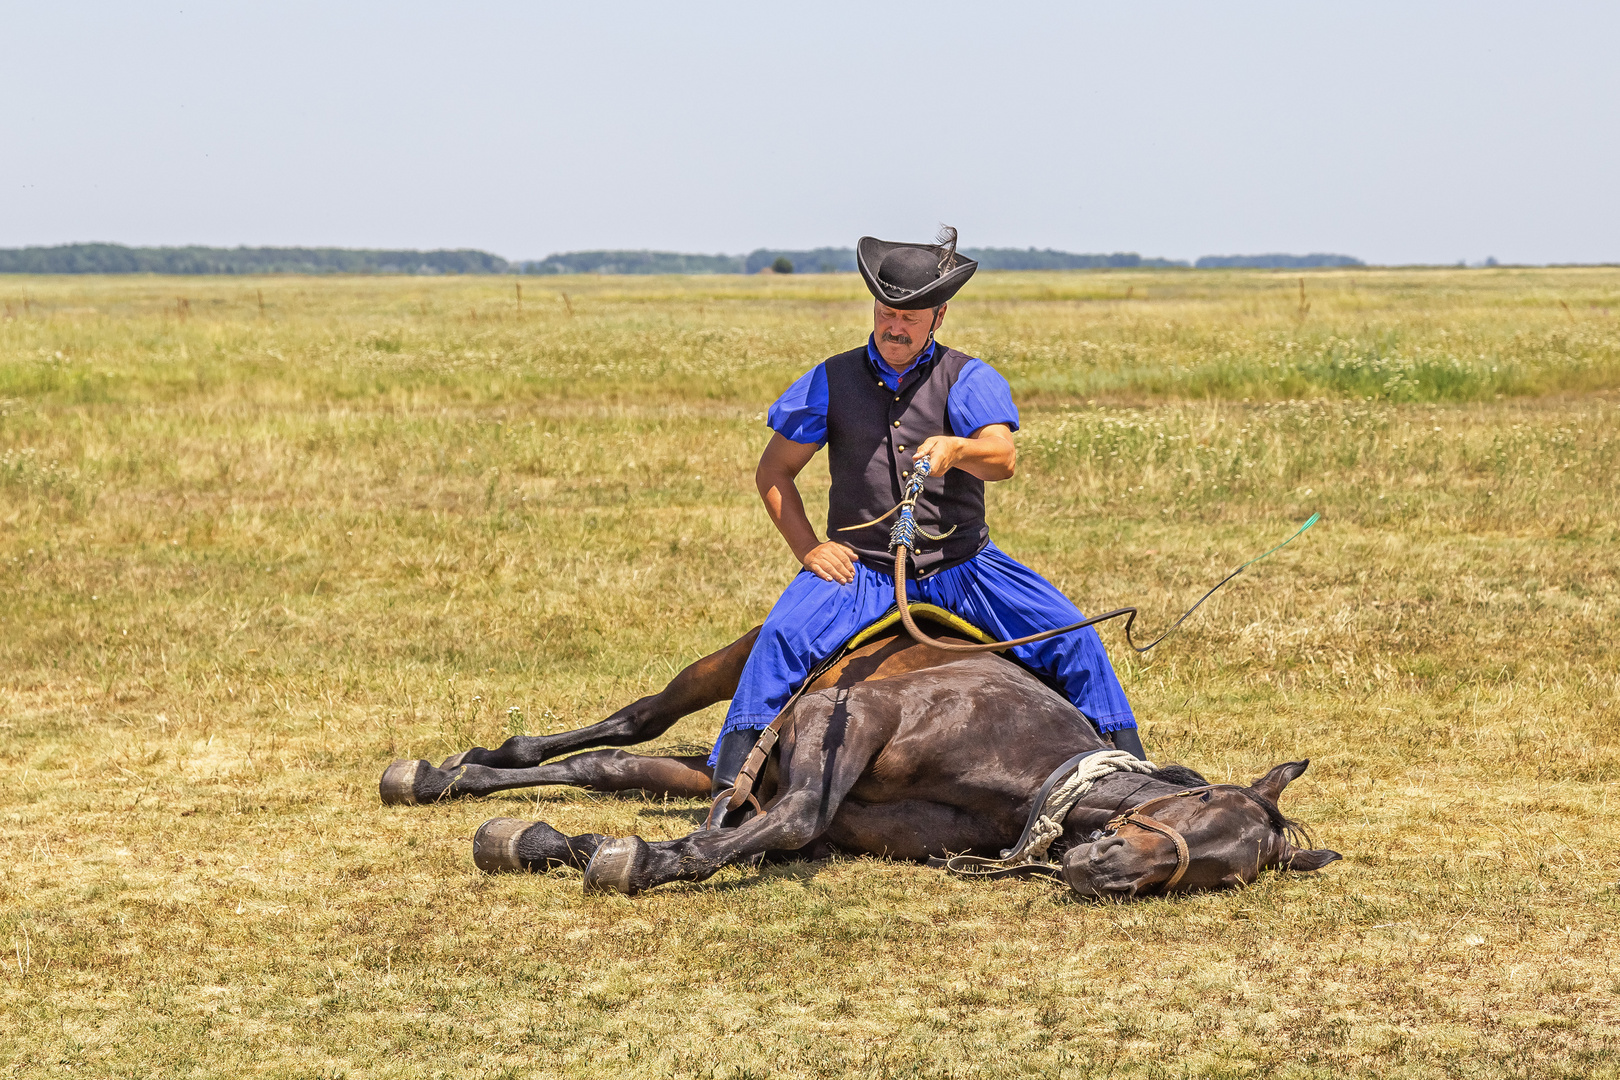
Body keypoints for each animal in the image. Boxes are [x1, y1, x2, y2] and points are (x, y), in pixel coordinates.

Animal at [382, 621, 1341, 900]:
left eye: (1222, 873)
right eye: (1201, 809)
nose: (1101, 871)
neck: (1034, 775)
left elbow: (780, 828)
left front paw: (576, 845)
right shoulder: (848, 714)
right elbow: (790, 814)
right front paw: (646, 859)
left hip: (724, 755)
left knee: (611, 770)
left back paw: (467, 783)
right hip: (734, 667)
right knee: (631, 721)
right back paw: (445, 773)